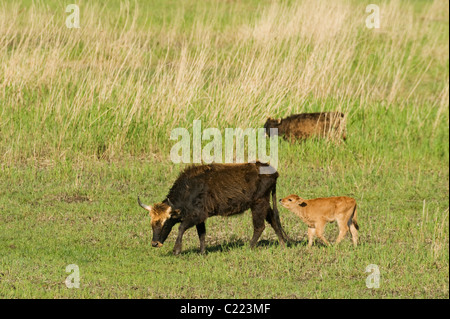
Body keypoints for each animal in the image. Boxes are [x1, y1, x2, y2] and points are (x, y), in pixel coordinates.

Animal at [136, 162, 288, 255]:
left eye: (166, 223)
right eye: (152, 223)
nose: (154, 243)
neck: (189, 189)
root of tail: (273, 171)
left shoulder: (197, 215)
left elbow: (181, 228)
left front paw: (176, 250)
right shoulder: (201, 218)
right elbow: (201, 234)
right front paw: (202, 252)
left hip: (258, 204)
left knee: (259, 226)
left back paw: (249, 247)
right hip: (265, 204)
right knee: (274, 221)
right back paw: (283, 244)